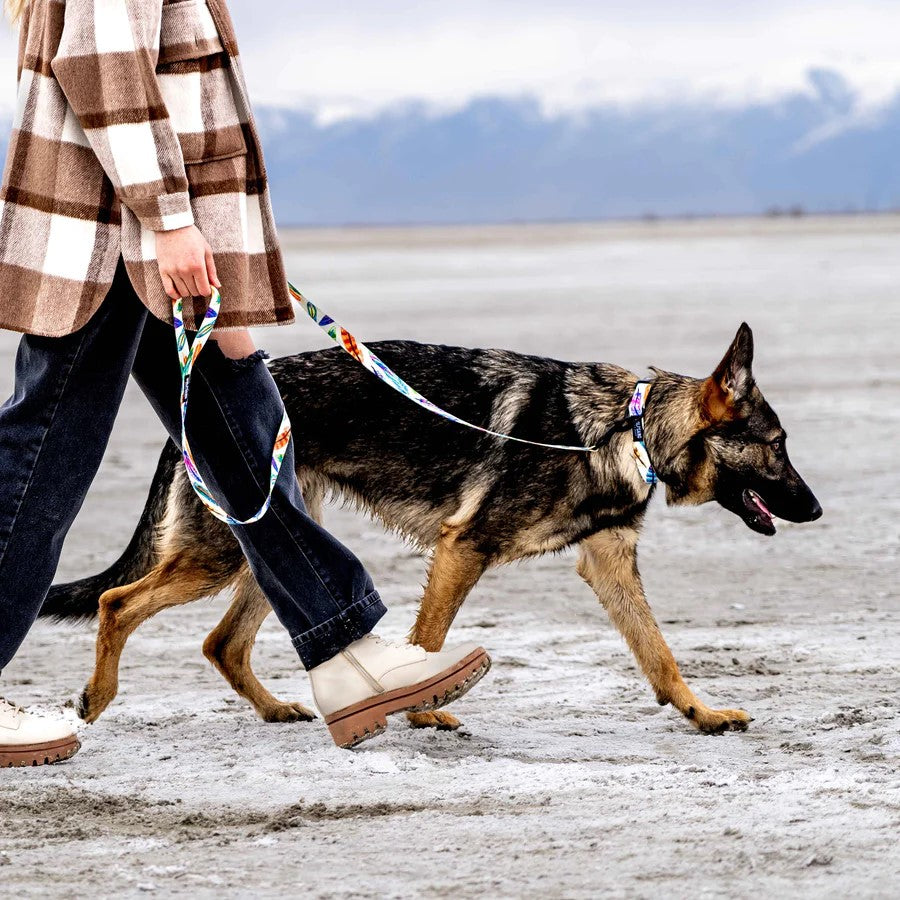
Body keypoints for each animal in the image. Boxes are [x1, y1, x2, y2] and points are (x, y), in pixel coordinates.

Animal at [47, 326, 824, 736]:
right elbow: (429, 638)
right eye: (779, 445)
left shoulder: (608, 565)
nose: (818, 512)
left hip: (276, 545)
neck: (623, 426)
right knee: (118, 603)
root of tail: (187, 419)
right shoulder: (464, 548)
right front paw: (423, 708)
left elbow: (659, 653)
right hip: (222, 555)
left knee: (222, 643)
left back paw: (274, 709)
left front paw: (701, 713)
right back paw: (97, 698)